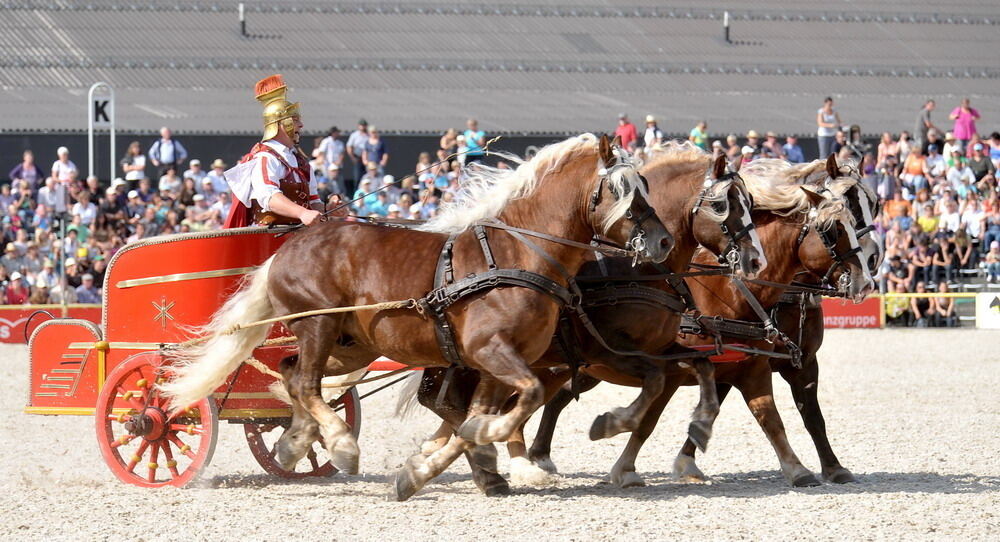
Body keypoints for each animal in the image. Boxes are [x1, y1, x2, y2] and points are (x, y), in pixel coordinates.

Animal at [160, 135, 668, 502]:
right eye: (623, 190)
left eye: (646, 186)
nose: (661, 242)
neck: (517, 253)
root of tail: (290, 247)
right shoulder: (491, 352)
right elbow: (522, 400)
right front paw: (490, 449)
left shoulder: (497, 363)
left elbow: (482, 415)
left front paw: (426, 470)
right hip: (319, 326)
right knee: (304, 382)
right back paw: (339, 442)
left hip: (351, 345)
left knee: (291, 374)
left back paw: (296, 441)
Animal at [410, 142, 768, 490]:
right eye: (724, 205)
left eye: (749, 203)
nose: (755, 260)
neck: (639, 272)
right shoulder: (608, 349)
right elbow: (652, 391)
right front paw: (610, 426)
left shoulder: (662, 349)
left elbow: (701, 367)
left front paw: (700, 427)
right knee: (450, 401)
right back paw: (502, 463)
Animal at [528, 162, 872, 488]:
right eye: (833, 230)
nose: (866, 278)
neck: (732, 293)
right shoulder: (674, 370)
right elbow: (649, 420)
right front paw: (627, 468)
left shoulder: (760, 366)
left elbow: (773, 416)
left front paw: (805, 468)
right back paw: (532, 459)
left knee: (554, 395)